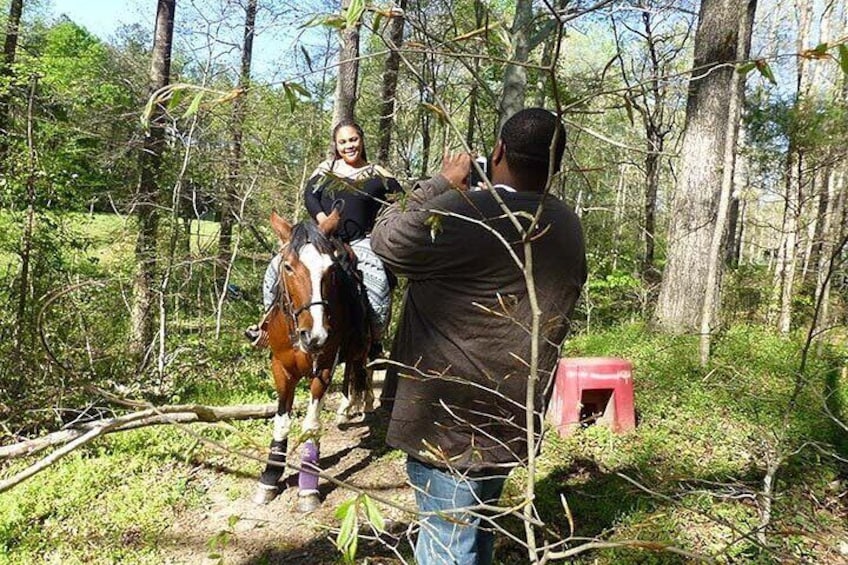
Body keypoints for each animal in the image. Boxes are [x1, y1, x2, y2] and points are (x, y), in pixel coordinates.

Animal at [252, 209, 372, 508]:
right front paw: (270, 476)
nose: (316, 335)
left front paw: (308, 486)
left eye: (331, 270)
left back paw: (357, 404)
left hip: (360, 347)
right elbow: (282, 421)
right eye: (287, 267)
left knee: (359, 369)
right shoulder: (280, 368)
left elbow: (311, 425)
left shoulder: (324, 368)